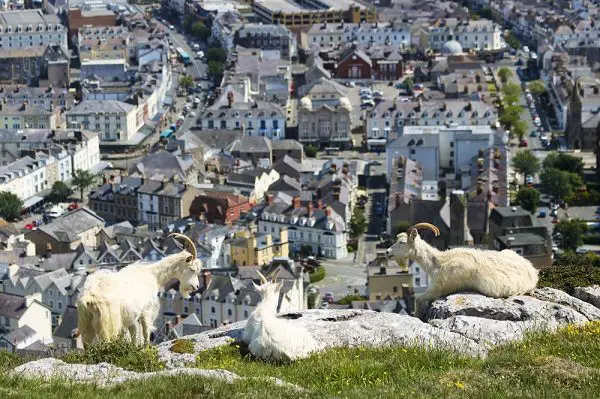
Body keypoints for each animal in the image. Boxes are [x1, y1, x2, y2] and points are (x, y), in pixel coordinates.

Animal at [386, 223, 540, 310]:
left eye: (402, 242)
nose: (387, 252)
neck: (438, 262)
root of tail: (533, 272)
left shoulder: (437, 290)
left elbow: (418, 300)